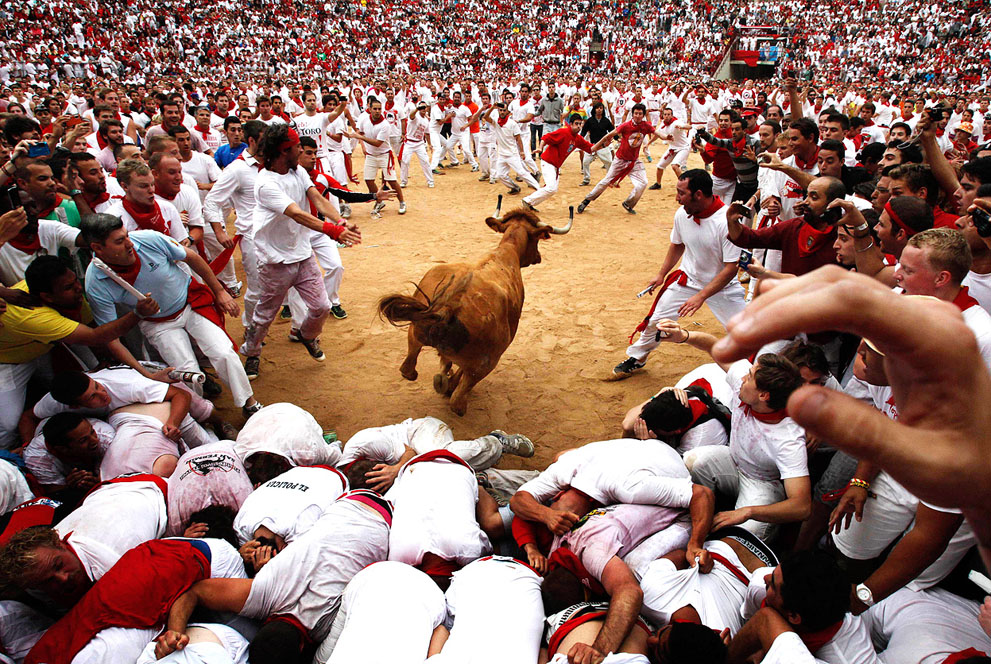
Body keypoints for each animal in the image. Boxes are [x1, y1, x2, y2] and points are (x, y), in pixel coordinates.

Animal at [378, 197, 572, 416]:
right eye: (537, 240)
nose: (538, 258)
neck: (506, 253)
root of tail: (448, 307)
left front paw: (445, 375)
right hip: (487, 362)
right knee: (458, 399)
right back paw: (455, 394)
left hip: (414, 334)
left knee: (408, 369)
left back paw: (440, 380)